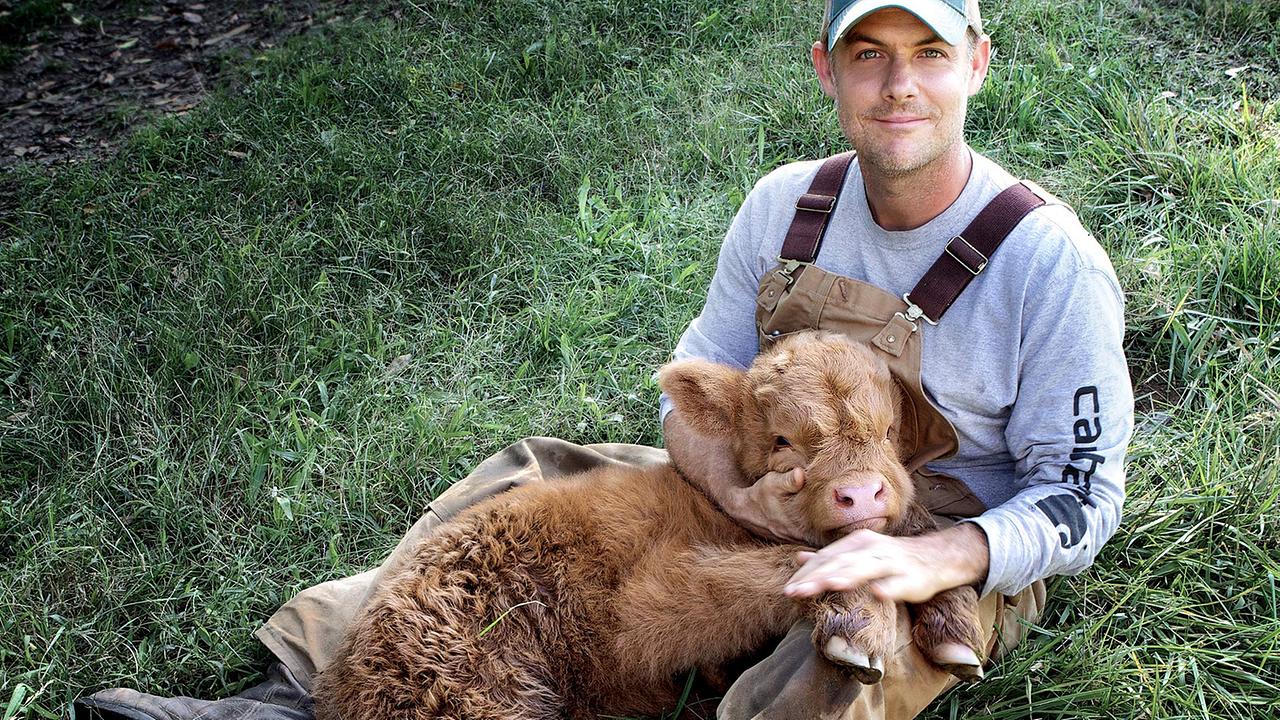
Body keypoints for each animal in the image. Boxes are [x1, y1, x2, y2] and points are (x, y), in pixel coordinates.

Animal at [314, 330, 983, 717]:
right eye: (782, 440)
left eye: (890, 430)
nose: (861, 492)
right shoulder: (639, 614)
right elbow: (768, 573)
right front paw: (858, 623)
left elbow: (917, 528)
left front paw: (954, 624)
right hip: (464, 692)